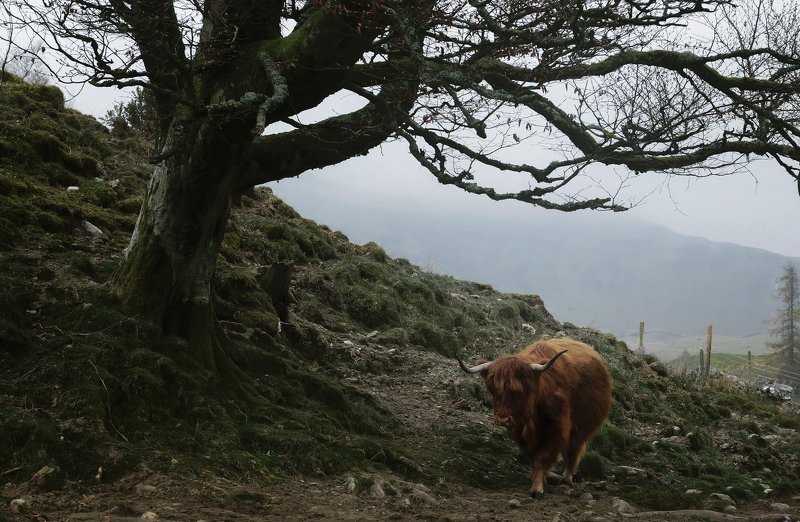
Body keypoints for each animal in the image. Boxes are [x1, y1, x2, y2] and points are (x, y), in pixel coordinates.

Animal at [457, 338, 612, 496]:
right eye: (493, 390)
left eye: (518, 391)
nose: (503, 420)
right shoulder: (520, 432)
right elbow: (534, 456)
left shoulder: (557, 428)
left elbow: (543, 457)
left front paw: (537, 488)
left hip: (582, 426)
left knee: (574, 450)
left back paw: (567, 477)